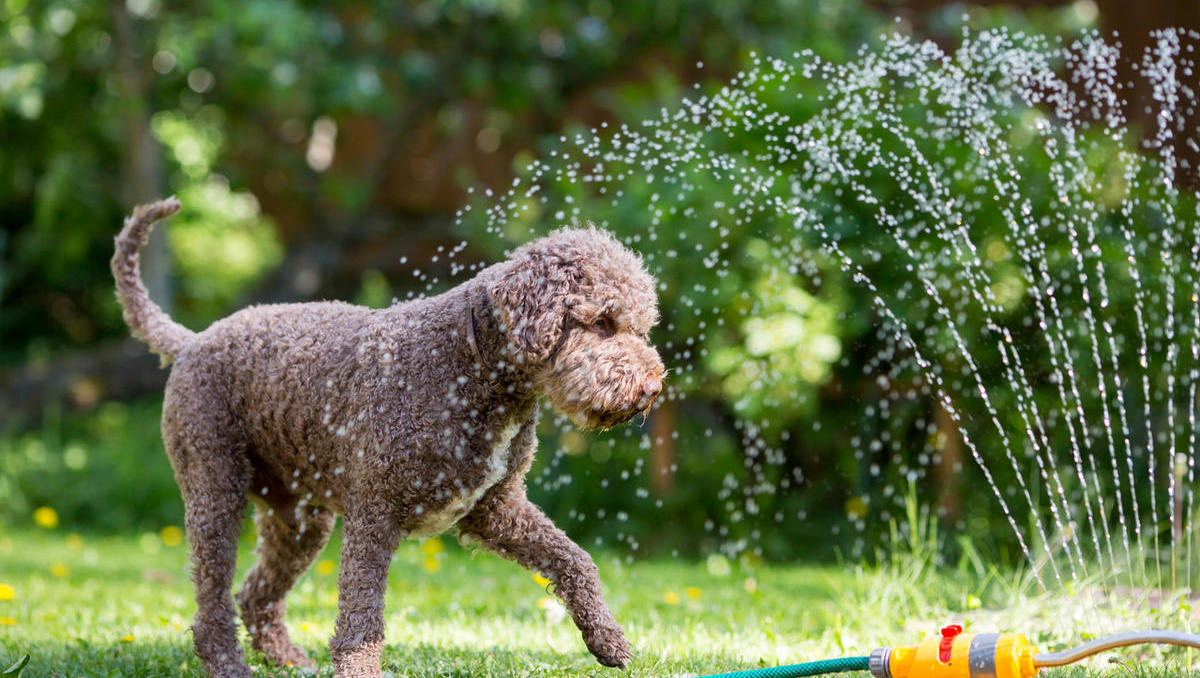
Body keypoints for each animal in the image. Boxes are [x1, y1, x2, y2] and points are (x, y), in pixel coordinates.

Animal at [111, 198, 667, 676]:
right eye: (602, 322)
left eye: (640, 327)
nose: (653, 387)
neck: (467, 366)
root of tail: (192, 341)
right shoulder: (373, 516)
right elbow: (362, 620)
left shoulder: (495, 508)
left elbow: (576, 560)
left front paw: (607, 639)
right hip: (216, 492)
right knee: (212, 603)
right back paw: (229, 664)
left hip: (300, 520)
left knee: (255, 595)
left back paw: (287, 659)